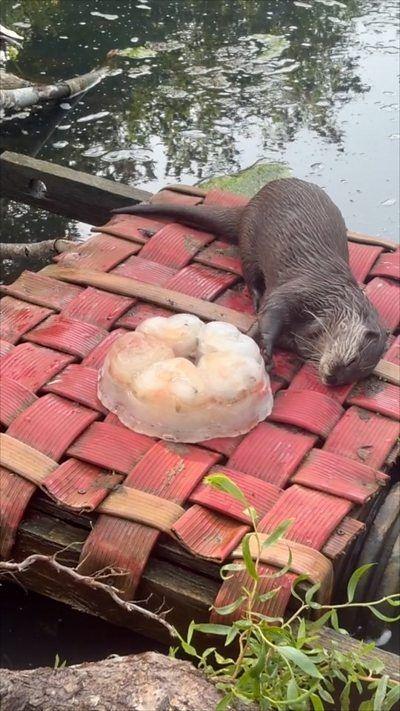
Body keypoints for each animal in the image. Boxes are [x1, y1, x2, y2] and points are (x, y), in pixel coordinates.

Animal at [112, 178, 387, 385]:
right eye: (352, 361)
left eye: (353, 378)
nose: (332, 379)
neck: (328, 298)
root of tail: (247, 206)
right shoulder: (299, 291)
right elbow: (271, 311)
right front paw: (263, 346)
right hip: (249, 240)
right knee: (250, 273)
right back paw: (255, 295)